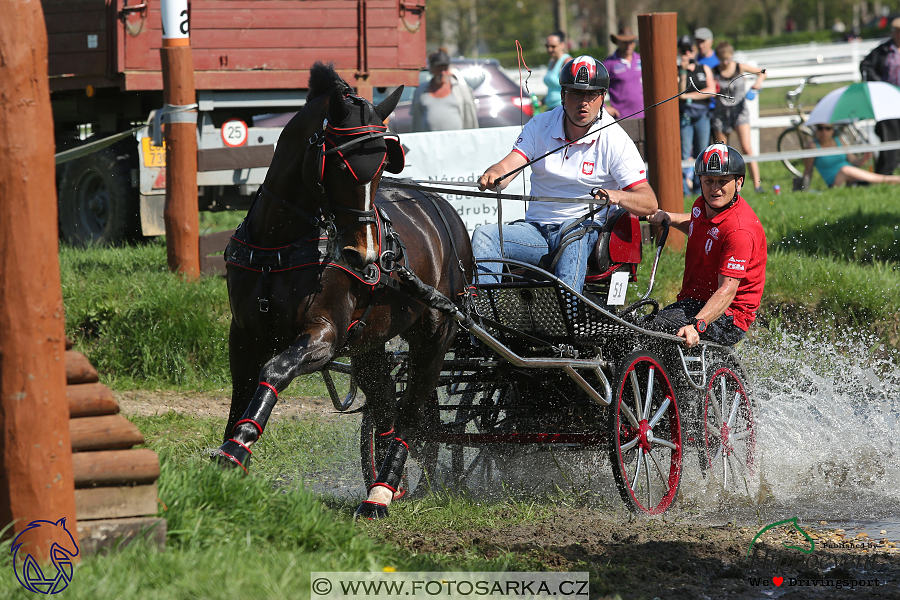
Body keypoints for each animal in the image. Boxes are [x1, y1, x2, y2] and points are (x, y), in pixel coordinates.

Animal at [214, 63, 474, 516]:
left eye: (384, 166)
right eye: (339, 164)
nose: (365, 254)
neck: (279, 245)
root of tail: (446, 212)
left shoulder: (323, 334)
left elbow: (274, 371)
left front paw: (239, 447)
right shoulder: (244, 334)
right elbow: (242, 389)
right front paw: (227, 460)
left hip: (436, 333)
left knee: (411, 410)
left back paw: (382, 490)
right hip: (369, 343)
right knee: (386, 404)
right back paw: (393, 478)